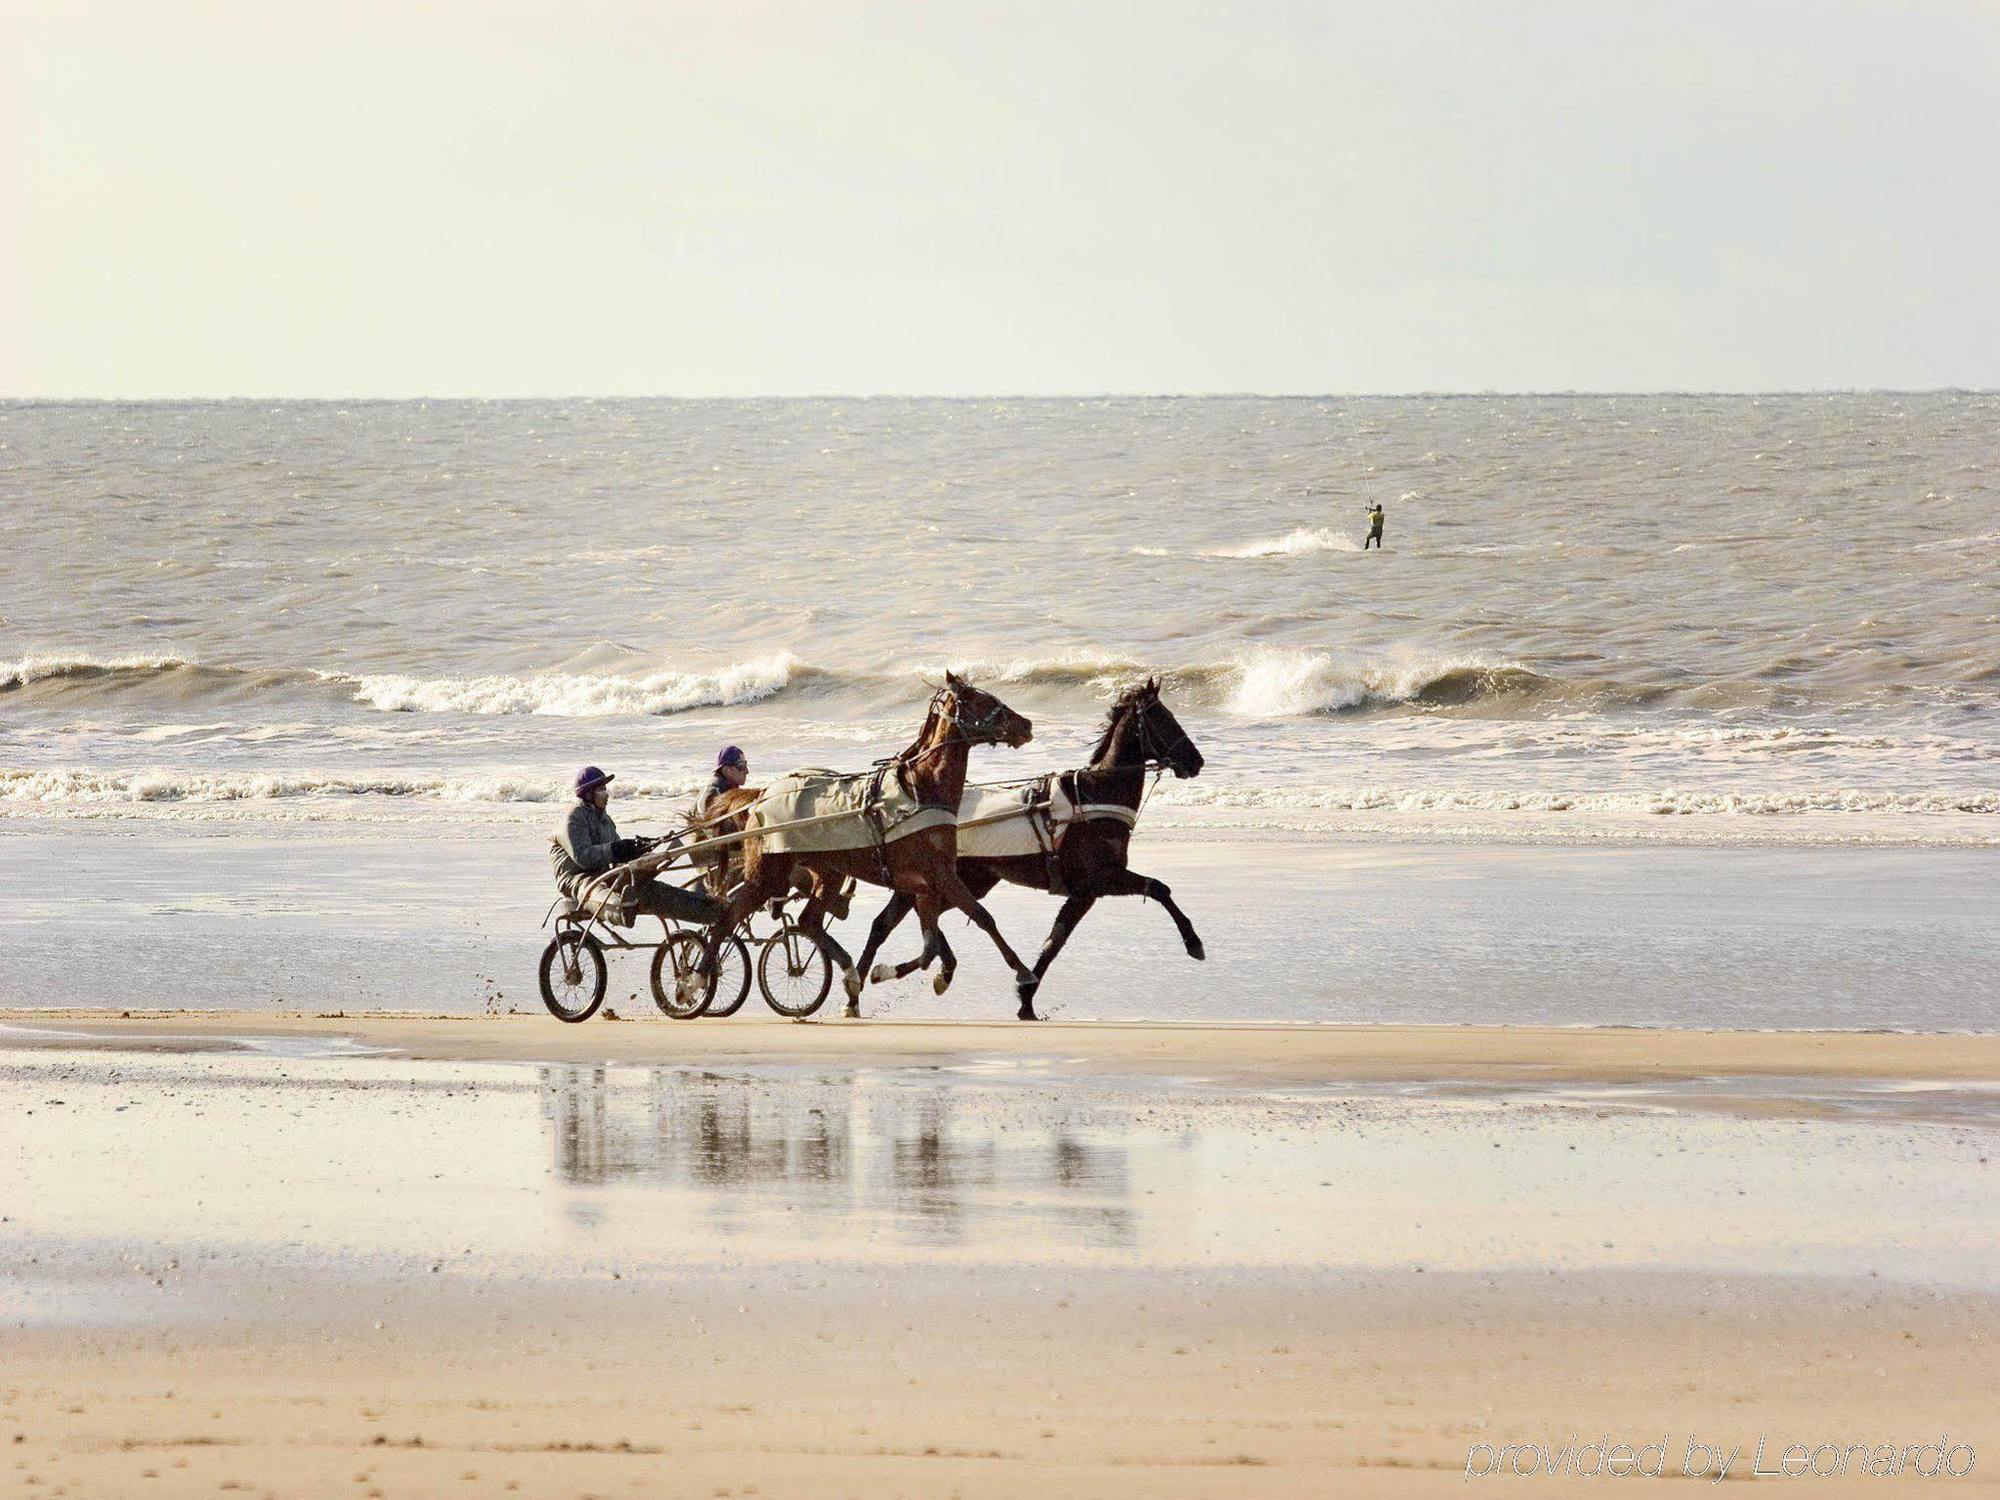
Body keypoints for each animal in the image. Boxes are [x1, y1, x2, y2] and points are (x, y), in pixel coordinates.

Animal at [692, 672, 1040, 1016]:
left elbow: (929, 946)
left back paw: (850, 973)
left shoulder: (924, 884)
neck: (921, 791)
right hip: (768, 875)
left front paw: (891, 972)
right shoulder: (942, 876)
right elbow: (982, 916)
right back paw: (696, 979)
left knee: (809, 922)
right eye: (984, 701)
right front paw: (1023, 971)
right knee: (728, 917)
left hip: (828, 872)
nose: (1027, 725)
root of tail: (762, 795)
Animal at [848, 680, 1200, 1024]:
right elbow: (1159, 888)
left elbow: (1054, 942)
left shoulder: (1084, 893)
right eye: (1164, 719)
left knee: (893, 923)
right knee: (903, 922)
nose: (1196, 761)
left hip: (960, 881)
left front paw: (1026, 1000)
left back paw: (870, 983)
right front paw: (1194, 943)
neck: (1094, 797)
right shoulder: (1102, 878)